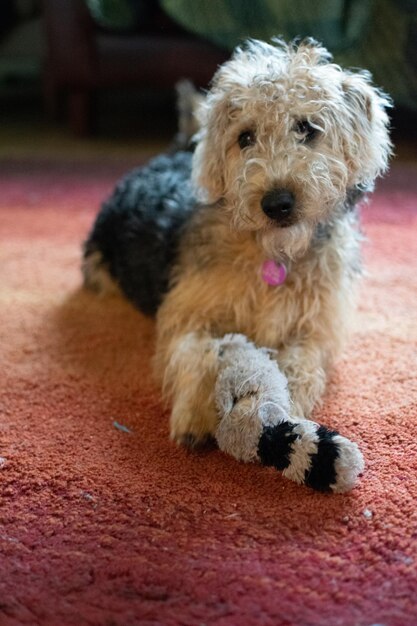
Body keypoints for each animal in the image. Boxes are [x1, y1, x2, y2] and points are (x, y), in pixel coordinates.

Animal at [83, 37, 390, 492]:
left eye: (307, 128)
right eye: (245, 137)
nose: (277, 203)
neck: (273, 255)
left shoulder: (316, 331)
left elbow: (300, 368)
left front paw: (283, 419)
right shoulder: (187, 313)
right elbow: (199, 352)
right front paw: (196, 417)